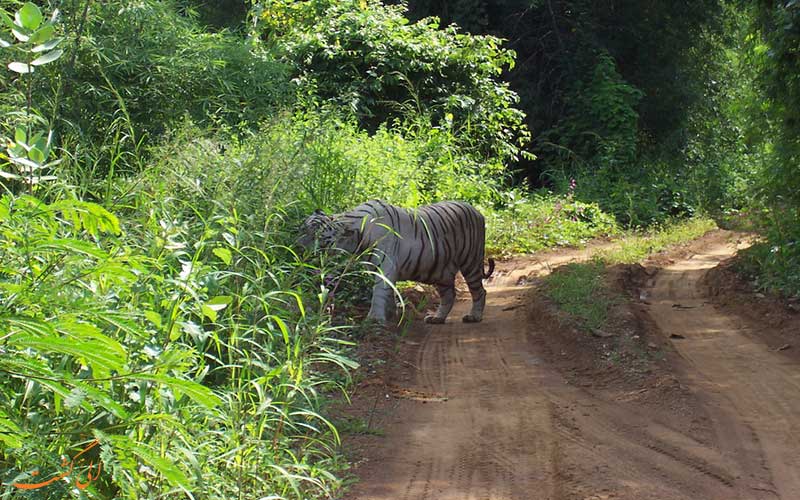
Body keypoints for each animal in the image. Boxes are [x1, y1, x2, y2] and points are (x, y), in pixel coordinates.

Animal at [296, 199, 494, 324]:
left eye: (318, 237)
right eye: (303, 229)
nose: (297, 246)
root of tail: (477, 211)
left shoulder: (386, 266)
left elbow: (378, 291)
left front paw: (375, 318)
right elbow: (389, 292)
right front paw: (391, 314)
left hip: (471, 262)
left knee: (480, 291)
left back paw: (474, 316)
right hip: (441, 271)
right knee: (449, 295)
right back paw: (437, 318)